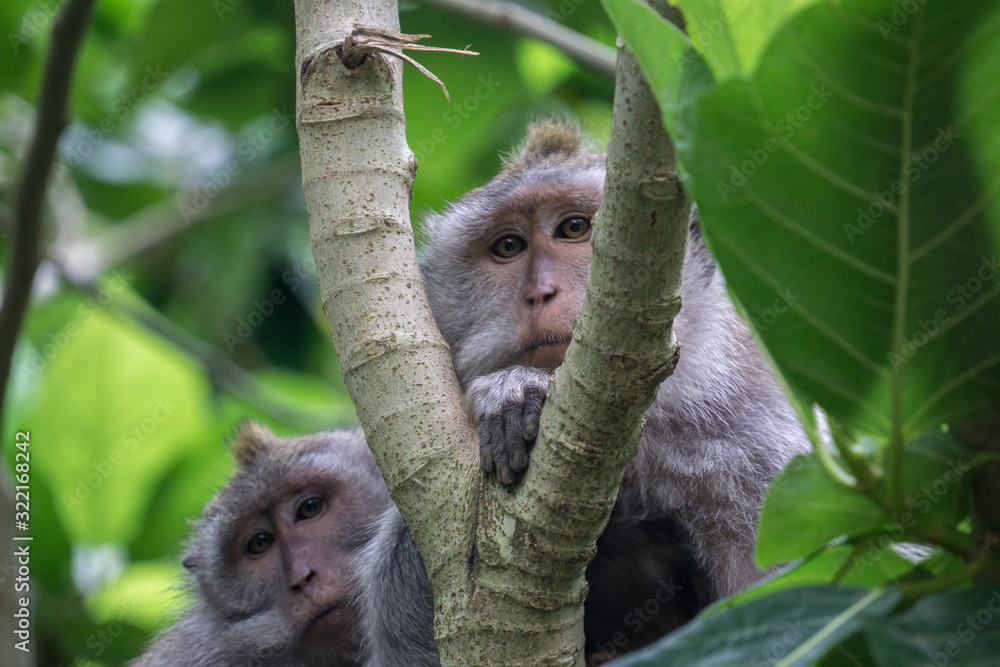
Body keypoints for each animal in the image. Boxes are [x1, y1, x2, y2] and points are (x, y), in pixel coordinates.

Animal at [356, 119, 808, 664]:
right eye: (508, 247)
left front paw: (517, 393)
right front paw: (511, 398)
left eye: (574, 229)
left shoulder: (753, 449)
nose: (540, 293)